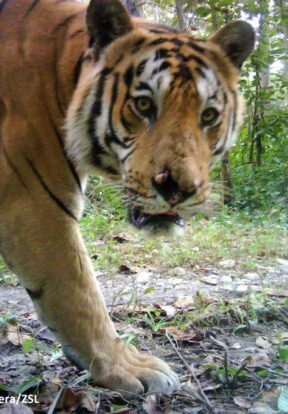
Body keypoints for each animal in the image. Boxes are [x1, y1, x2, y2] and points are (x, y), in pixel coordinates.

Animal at [0, 0, 255, 396]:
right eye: (144, 105)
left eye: (209, 115)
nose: (179, 188)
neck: (62, 73)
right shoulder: (35, 204)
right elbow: (80, 295)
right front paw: (125, 367)